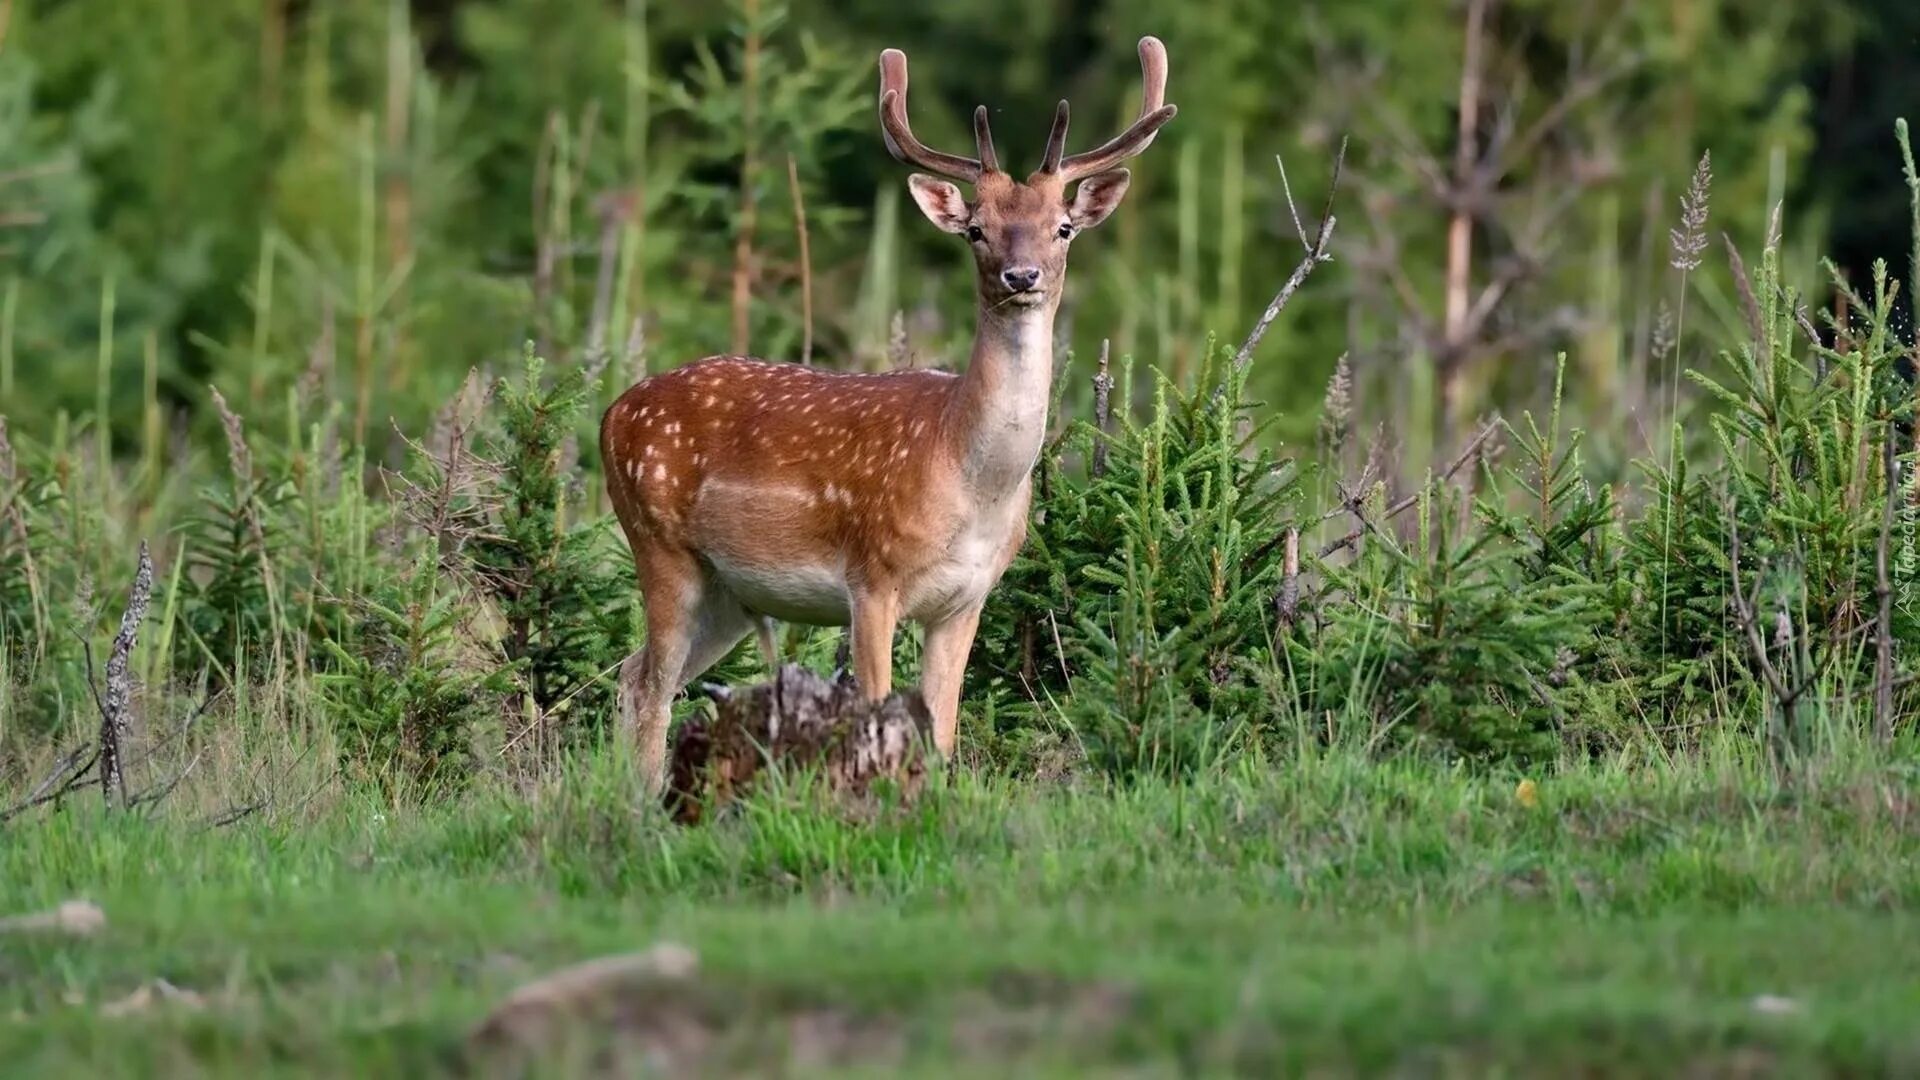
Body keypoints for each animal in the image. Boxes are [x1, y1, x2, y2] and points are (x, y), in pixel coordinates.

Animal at [599, 35, 1167, 791]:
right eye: (977, 230)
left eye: (1064, 228)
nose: (1021, 276)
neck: (972, 483)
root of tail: (611, 414)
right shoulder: (872, 579)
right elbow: (874, 711)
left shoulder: (967, 599)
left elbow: (943, 729)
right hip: (660, 544)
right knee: (653, 685)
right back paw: (642, 796)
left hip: (728, 590)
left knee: (634, 673)